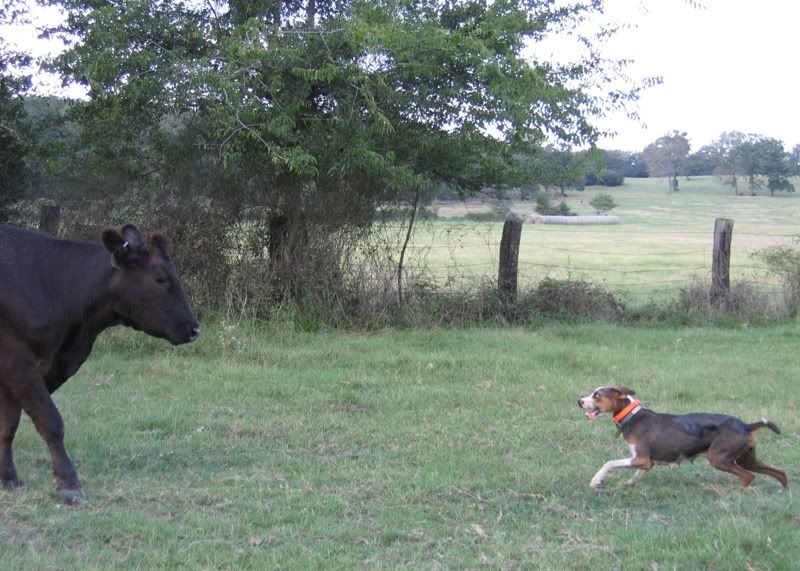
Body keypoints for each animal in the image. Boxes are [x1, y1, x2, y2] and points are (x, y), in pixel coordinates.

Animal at [0, 223, 199, 504]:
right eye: (161, 280)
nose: (194, 329)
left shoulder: (14, 372)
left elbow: (8, 425)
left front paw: (8, 478)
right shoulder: (17, 360)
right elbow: (50, 421)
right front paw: (69, 483)